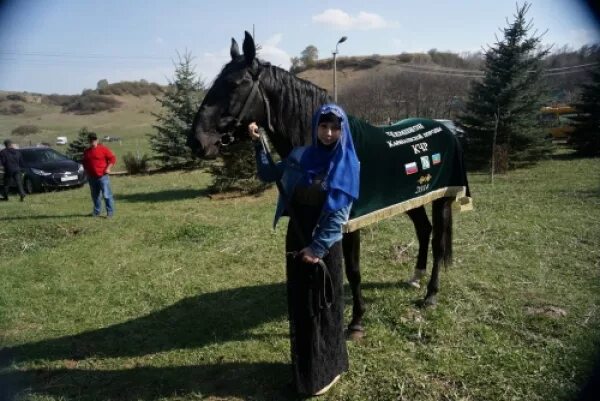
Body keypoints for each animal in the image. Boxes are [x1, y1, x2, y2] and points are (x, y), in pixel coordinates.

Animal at [192, 30, 460, 338]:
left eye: (235, 84)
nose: (196, 141)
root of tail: (446, 128)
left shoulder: (350, 222)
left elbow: (353, 270)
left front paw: (356, 322)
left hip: (441, 199)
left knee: (438, 241)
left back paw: (430, 295)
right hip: (411, 197)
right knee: (424, 229)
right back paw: (415, 277)